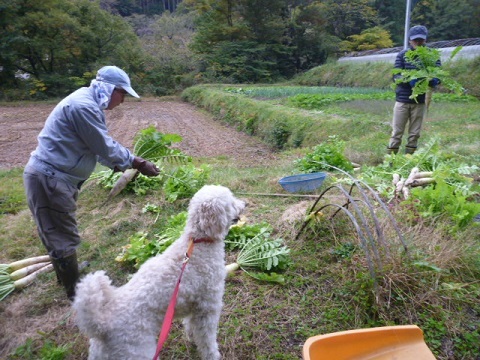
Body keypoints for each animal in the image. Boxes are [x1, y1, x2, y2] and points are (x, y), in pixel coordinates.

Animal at [73, 186, 246, 360]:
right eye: (231, 202)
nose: (244, 204)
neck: (198, 242)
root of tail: (102, 326)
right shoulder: (207, 306)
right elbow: (207, 339)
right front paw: (212, 355)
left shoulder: (194, 305)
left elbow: (190, 326)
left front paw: (191, 338)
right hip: (138, 351)